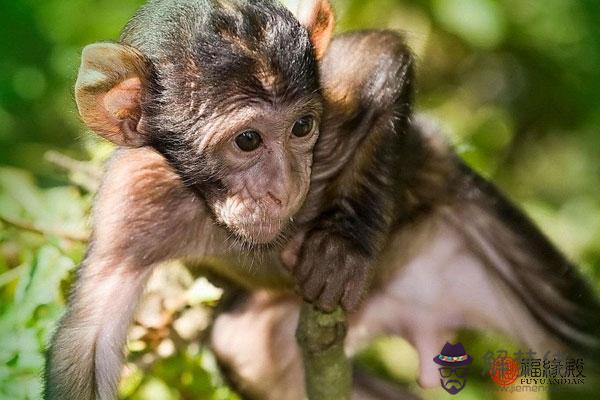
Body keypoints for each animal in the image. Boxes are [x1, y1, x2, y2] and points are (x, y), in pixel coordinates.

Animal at [45, 0, 600, 400]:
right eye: (247, 140)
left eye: (301, 127)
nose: (285, 186)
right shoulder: (131, 200)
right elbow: (86, 341)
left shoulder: (333, 106)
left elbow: (381, 55)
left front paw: (343, 242)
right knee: (243, 350)